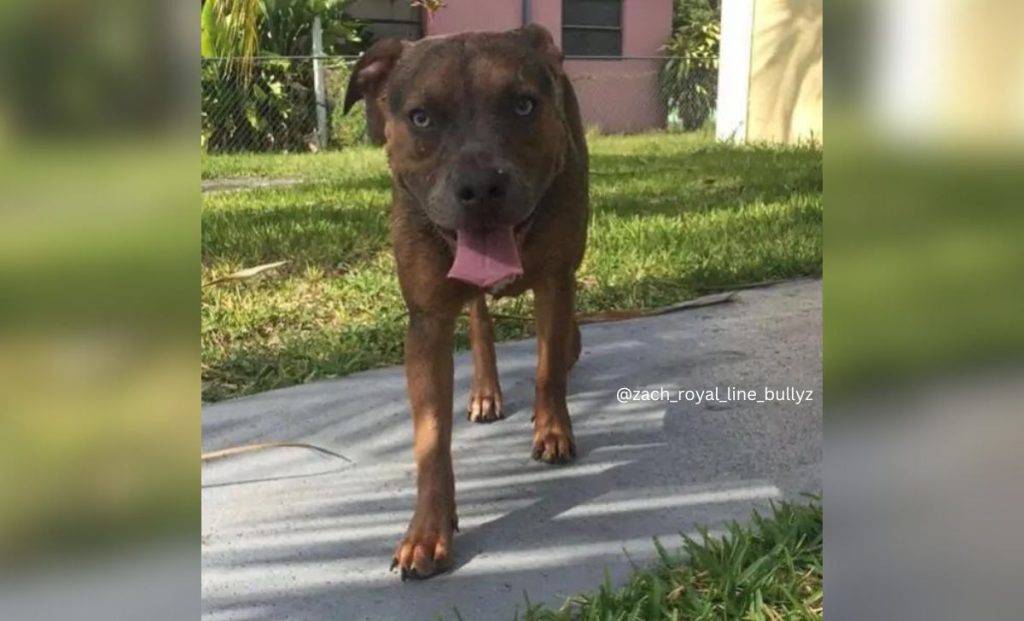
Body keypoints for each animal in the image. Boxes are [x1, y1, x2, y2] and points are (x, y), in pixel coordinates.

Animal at [344, 24, 585, 577]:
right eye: (421, 117)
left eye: (523, 105)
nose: (481, 187)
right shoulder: (427, 322)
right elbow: (431, 440)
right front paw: (427, 532)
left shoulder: (556, 279)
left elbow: (547, 370)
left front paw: (552, 428)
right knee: (479, 320)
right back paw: (484, 390)